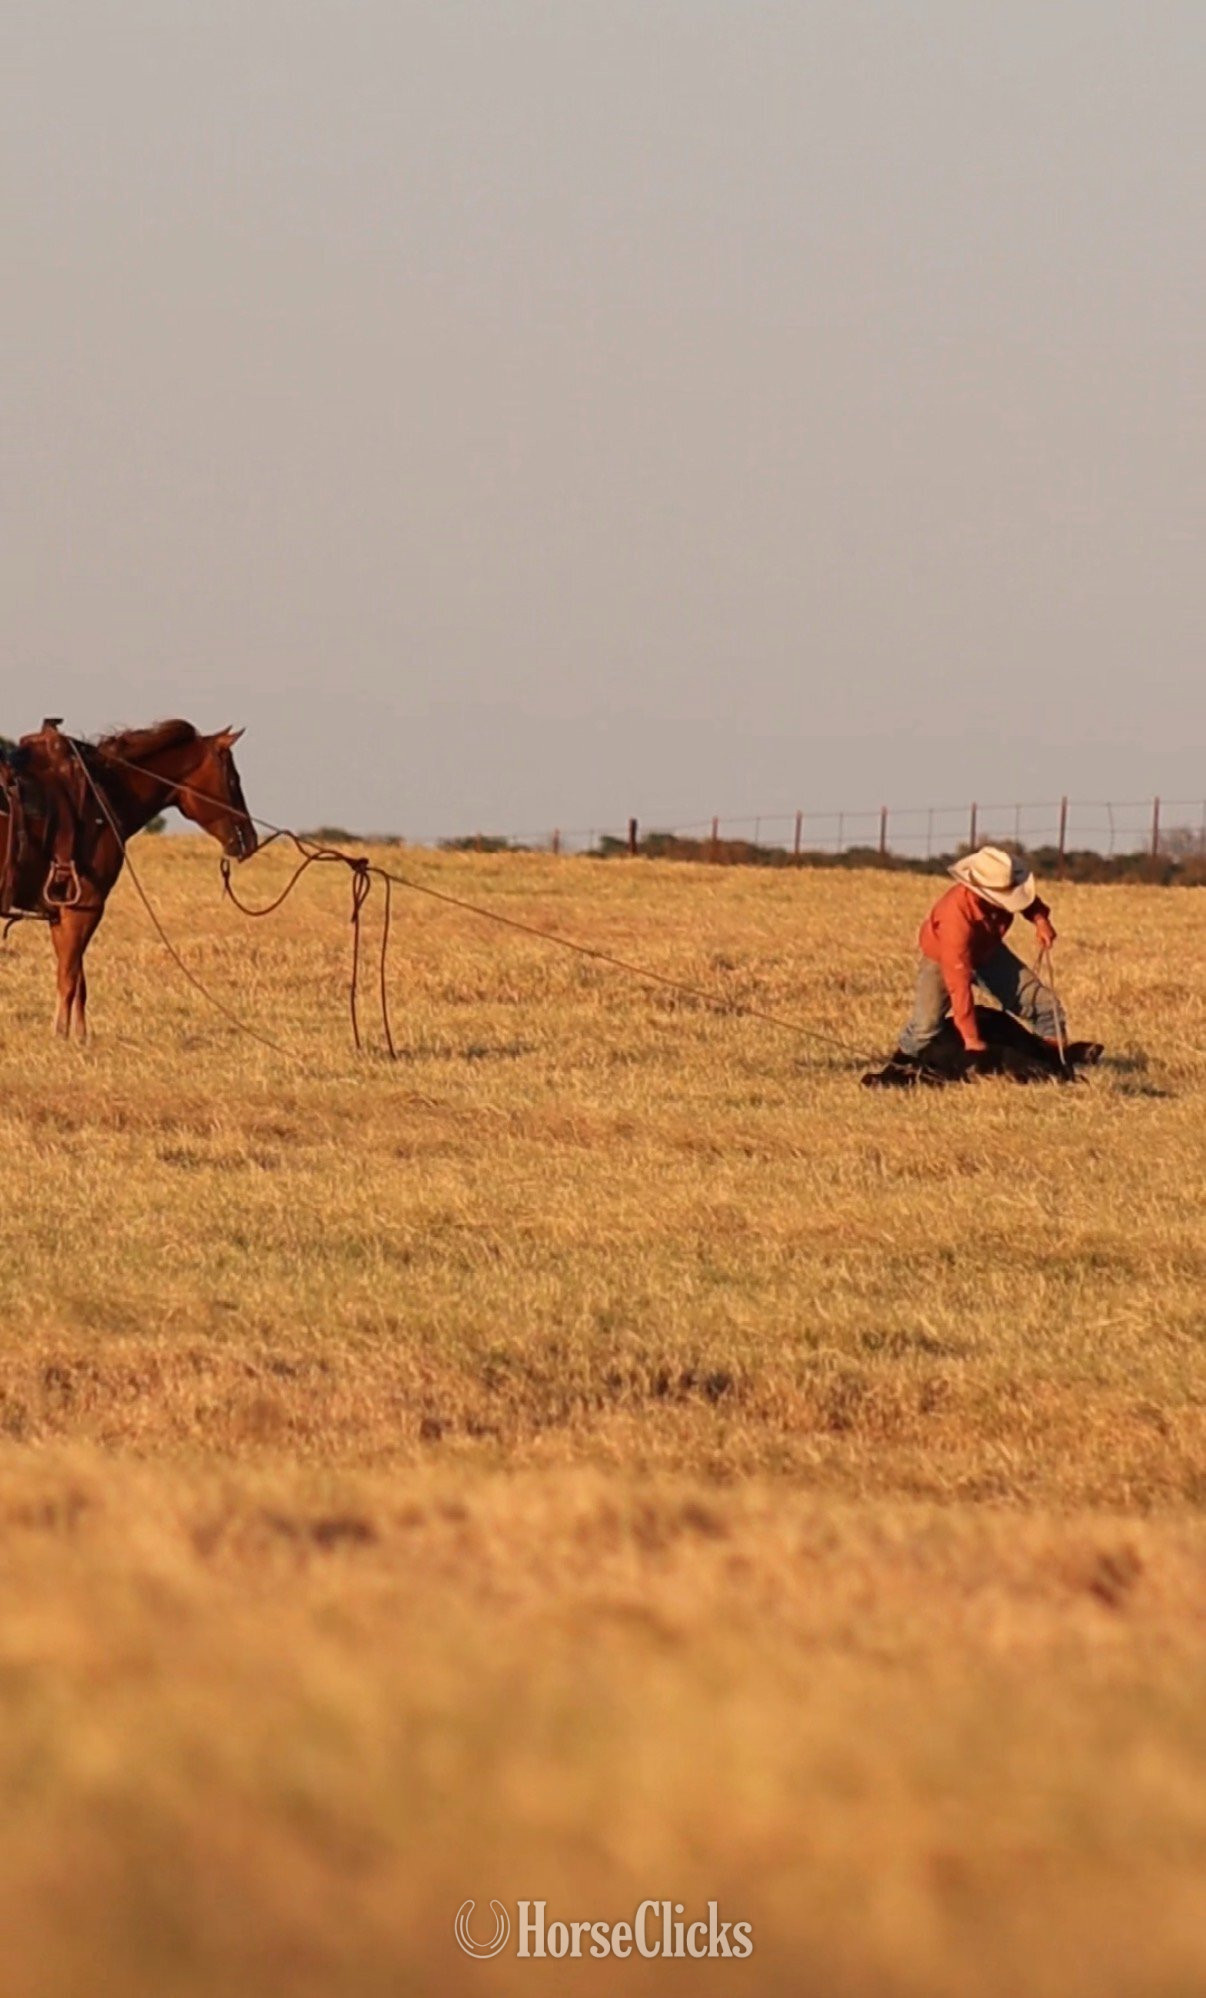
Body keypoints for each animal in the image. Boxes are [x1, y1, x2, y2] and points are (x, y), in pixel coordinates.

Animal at [0, 719, 257, 1043]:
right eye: (233, 780)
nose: (250, 839)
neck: (100, 798)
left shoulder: (61, 913)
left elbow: (76, 978)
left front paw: (79, 1037)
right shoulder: (84, 907)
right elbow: (69, 978)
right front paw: (61, 1036)